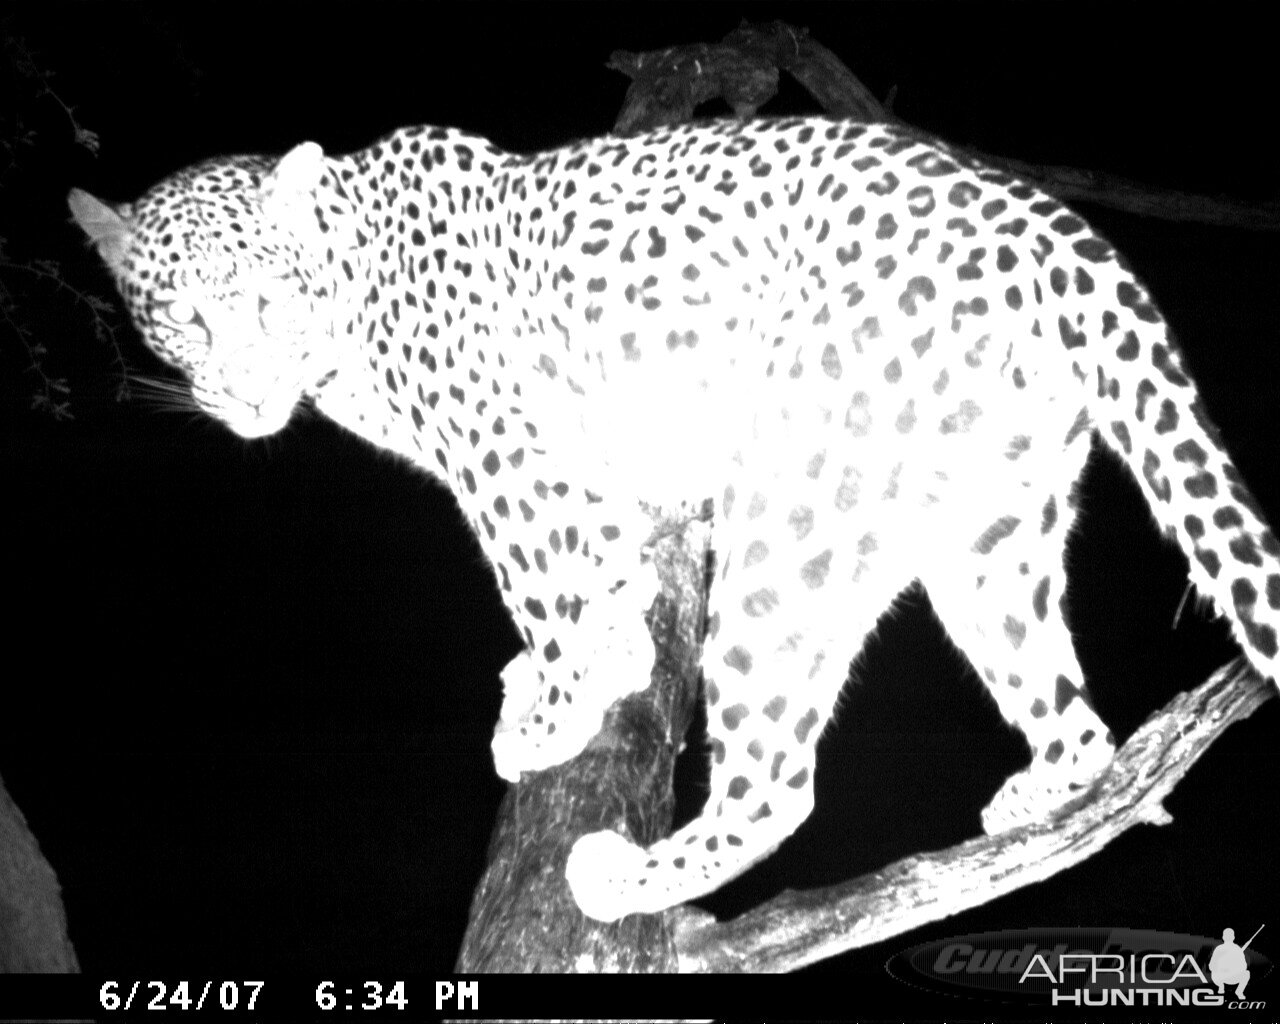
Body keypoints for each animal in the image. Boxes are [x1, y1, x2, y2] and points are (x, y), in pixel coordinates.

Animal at [70, 117, 1280, 921]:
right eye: (182, 318)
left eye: (264, 300)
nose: (239, 397)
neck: (348, 292)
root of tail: (1054, 226)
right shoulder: (593, 470)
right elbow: (609, 571)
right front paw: (593, 656)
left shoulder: (505, 456)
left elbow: (544, 584)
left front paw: (557, 705)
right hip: (989, 531)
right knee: (1076, 720)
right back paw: (1039, 792)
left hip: (792, 513)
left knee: (779, 782)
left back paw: (626, 877)